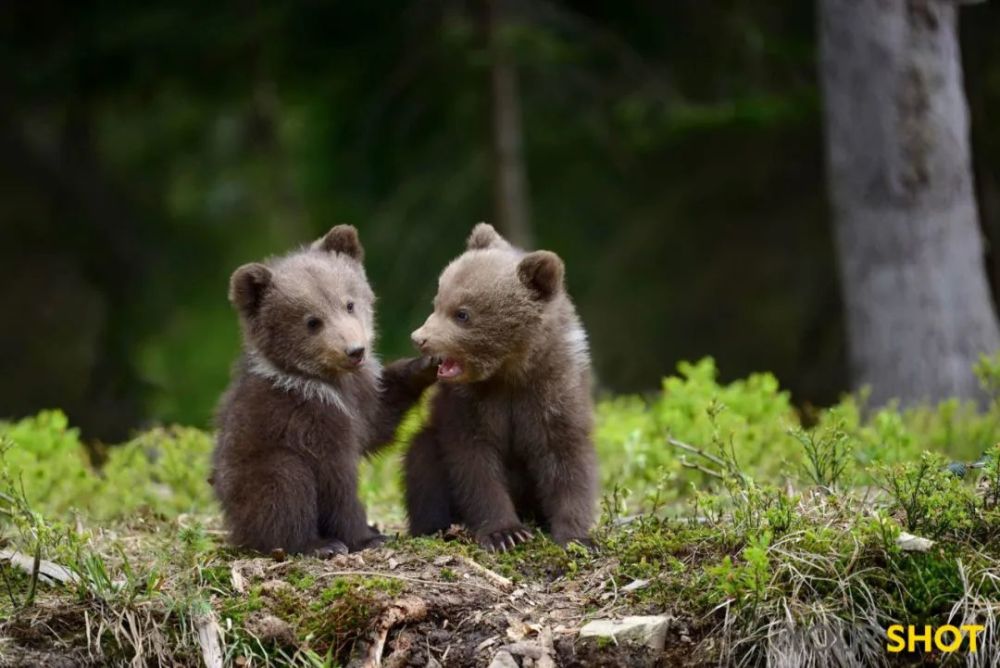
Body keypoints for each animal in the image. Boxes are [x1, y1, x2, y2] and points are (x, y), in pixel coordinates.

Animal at [212, 225, 436, 556]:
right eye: (312, 321)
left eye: (349, 303)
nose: (355, 351)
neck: (328, 382)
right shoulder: (308, 418)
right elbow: (336, 481)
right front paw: (366, 536)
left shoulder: (360, 398)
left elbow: (378, 421)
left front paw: (426, 364)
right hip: (255, 473)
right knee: (286, 485)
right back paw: (317, 544)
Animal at [405, 223, 598, 551]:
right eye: (437, 301)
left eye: (462, 313)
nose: (420, 338)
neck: (509, 372)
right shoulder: (469, 405)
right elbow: (475, 464)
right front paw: (505, 533)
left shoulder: (554, 392)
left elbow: (566, 460)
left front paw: (578, 536)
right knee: (421, 461)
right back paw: (438, 526)